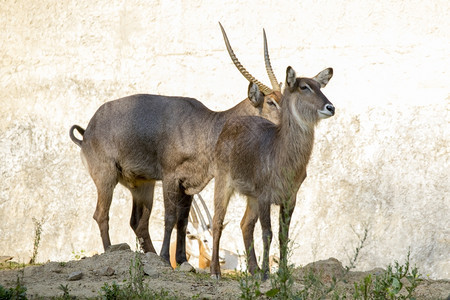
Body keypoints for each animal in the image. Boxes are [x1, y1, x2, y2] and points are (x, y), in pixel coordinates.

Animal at [67, 24, 282, 268]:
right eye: (271, 102)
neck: (207, 126)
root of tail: (86, 133)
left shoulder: (189, 184)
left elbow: (183, 220)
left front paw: (180, 260)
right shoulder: (170, 177)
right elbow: (170, 217)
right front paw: (165, 257)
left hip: (143, 185)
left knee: (138, 222)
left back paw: (149, 255)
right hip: (106, 177)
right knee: (102, 214)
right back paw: (110, 250)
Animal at [210, 65, 334, 278]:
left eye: (320, 86)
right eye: (304, 87)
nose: (330, 107)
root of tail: (230, 124)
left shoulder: (290, 198)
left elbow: (284, 235)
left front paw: (282, 271)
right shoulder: (264, 196)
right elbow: (267, 233)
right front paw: (267, 273)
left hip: (251, 196)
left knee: (245, 224)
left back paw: (253, 270)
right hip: (223, 182)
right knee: (218, 221)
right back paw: (215, 271)